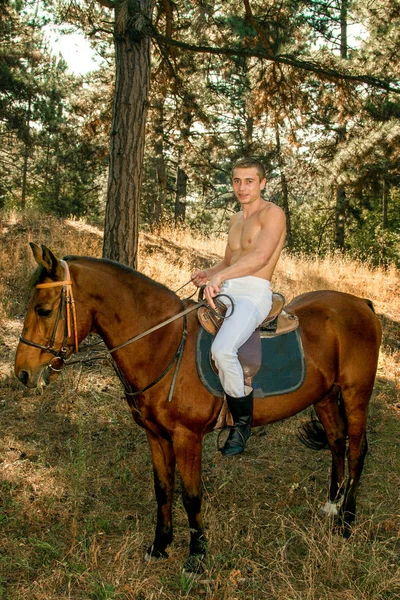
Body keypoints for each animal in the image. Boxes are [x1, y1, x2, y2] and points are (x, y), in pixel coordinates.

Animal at [13, 243, 382, 572]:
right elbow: (163, 489)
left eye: (43, 310)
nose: (22, 372)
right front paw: (160, 546)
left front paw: (197, 555)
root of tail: (362, 304)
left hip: (355, 395)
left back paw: (347, 521)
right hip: (325, 397)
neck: (162, 344)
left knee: (356, 449)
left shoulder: (186, 437)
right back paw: (332, 504)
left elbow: (191, 495)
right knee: (335, 441)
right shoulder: (156, 435)